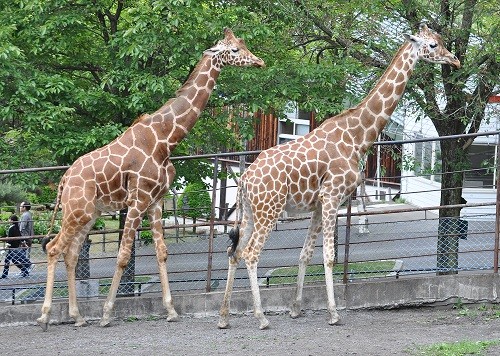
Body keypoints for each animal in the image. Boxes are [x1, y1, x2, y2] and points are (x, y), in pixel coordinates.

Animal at [36, 27, 264, 330]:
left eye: (244, 44)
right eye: (235, 50)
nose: (259, 62)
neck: (165, 140)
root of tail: (63, 180)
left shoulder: (156, 201)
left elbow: (161, 252)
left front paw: (171, 310)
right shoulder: (138, 200)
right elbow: (122, 256)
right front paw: (107, 314)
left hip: (89, 214)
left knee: (70, 253)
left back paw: (78, 316)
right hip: (76, 211)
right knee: (53, 248)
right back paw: (45, 315)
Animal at [219, 23, 460, 330]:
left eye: (440, 41)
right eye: (432, 45)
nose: (455, 60)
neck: (357, 137)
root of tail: (245, 179)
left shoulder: (318, 204)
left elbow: (305, 254)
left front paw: (296, 308)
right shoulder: (332, 196)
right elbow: (329, 257)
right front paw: (334, 313)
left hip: (250, 212)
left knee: (235, 252)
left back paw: (224, 317)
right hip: (269, 210)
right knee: (251, 254)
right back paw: (261, 317)